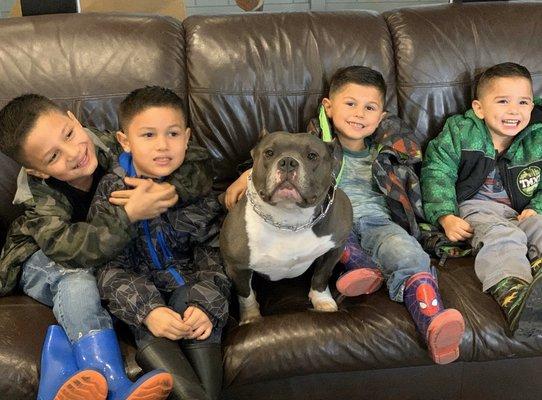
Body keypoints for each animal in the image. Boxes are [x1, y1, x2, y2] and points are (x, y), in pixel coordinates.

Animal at [220, 131, 352, 324]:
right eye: (269, 153)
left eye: (312, 156)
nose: (288, 162)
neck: (289, 221)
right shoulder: (237, 267)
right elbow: (246, 295)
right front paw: (251, 317)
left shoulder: (336, 247)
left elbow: (321, 276)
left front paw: (322, 300)